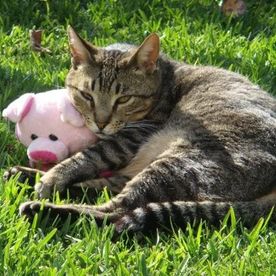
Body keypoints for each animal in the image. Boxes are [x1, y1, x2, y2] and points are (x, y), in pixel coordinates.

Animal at [10, 25, 276, 233]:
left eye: (124, 99)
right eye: (87, 95)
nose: (101, 122)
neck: (164, 78)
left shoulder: (131, 136)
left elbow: (88, 155)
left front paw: (53, 177)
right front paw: (42, 172)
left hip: (182, 162)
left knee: (114, 209)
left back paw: (42, 207)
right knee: (108, 186)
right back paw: (25, 175)